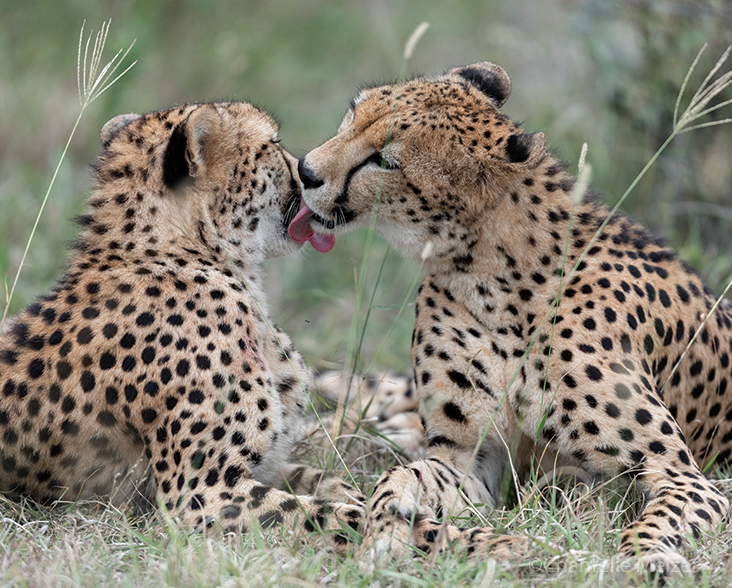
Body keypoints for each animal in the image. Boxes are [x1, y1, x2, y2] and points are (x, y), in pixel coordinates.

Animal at [0, 100, 366, 552]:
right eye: (273, 145)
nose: (308, 172)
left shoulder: (260, 468)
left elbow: (325, 481)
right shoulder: (198, 494)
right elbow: (334, 515)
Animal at [290, 60, 732, 564]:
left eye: (383, 161)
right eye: (352, 114)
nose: (304, 171)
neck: (492, 272)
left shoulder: (685, 475)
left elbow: (655, 522)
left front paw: (646, 561)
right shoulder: (470, 459)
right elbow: (402, 476)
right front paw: (386, 525)